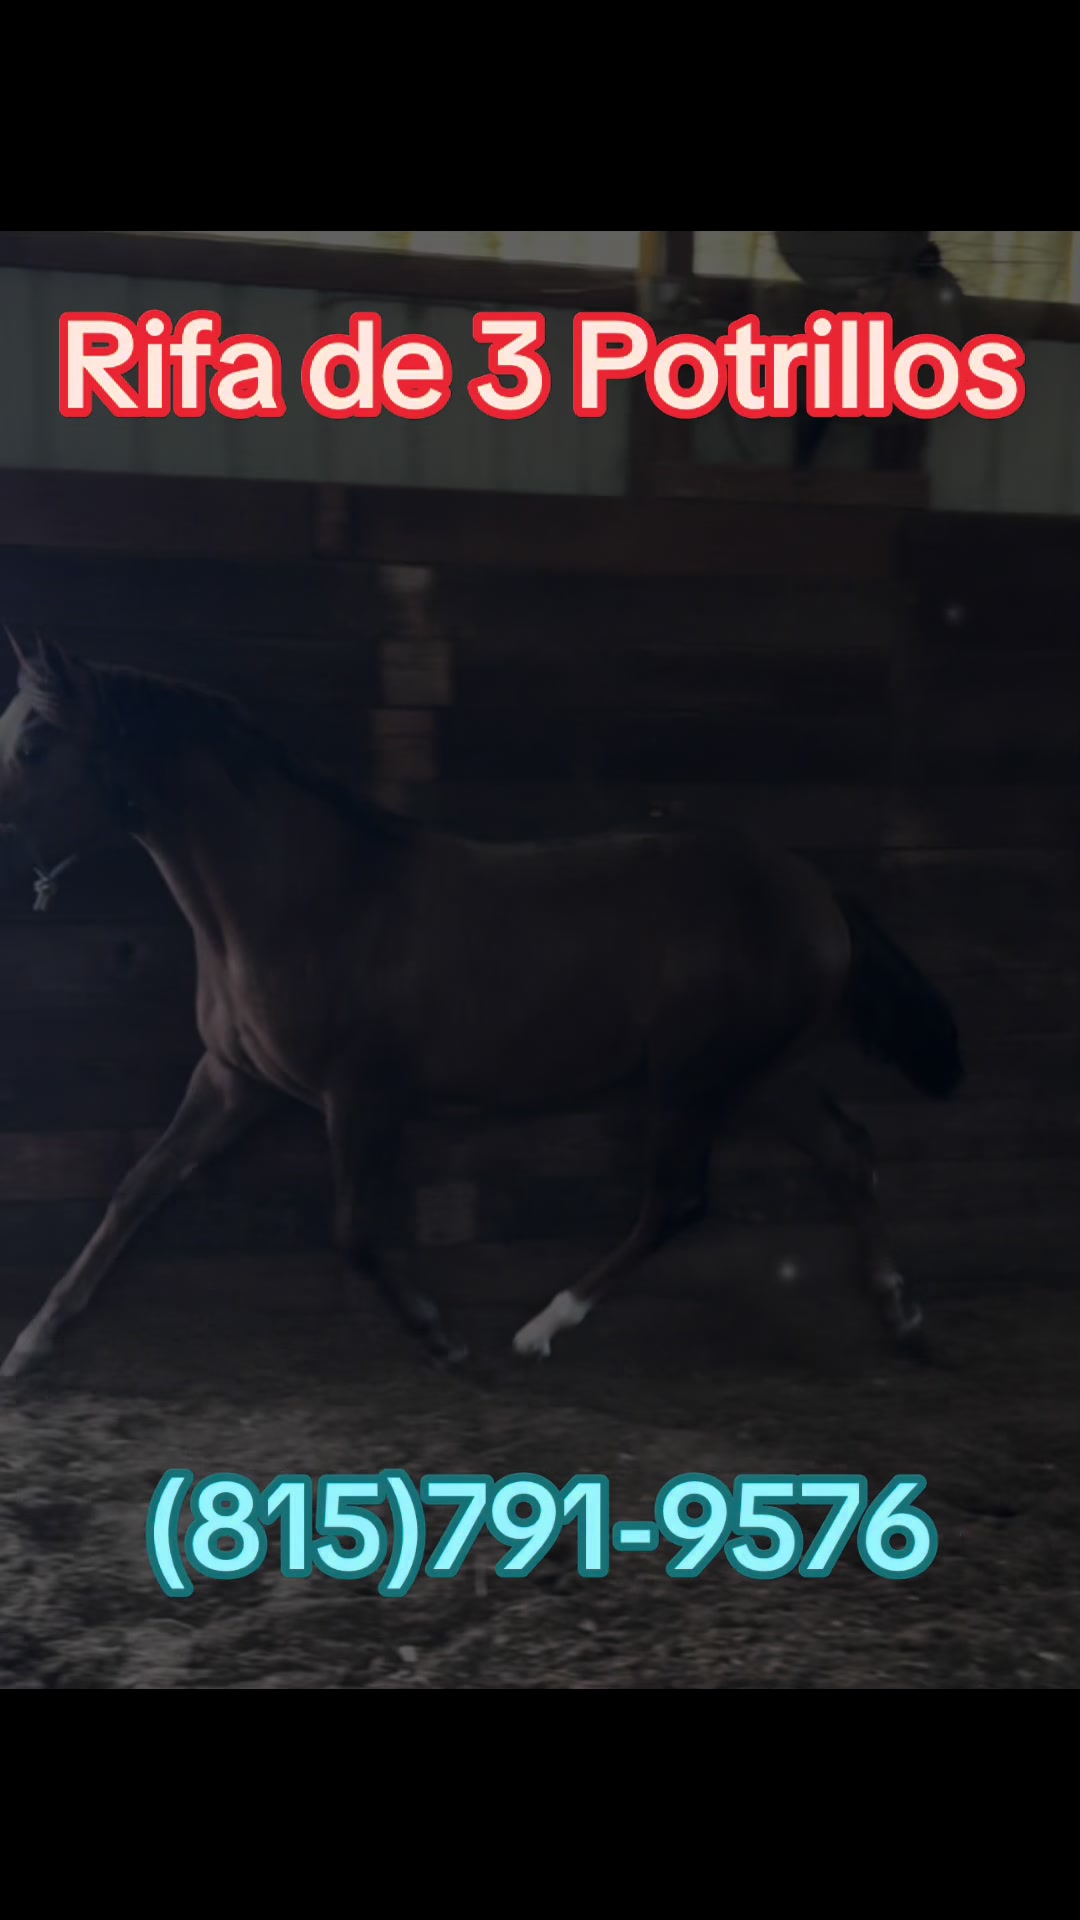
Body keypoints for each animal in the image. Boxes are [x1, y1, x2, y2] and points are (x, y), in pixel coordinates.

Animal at [0, 630, 962, 1381]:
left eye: (34, 745)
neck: (301, 894)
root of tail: (816, 894)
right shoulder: (234, 1079)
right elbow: (138, 1187)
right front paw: (33, 1344)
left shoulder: (361, 1095)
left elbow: (353, 1232)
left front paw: (441, 1338)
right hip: (762, 1074)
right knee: (845, 1151)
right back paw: (904, 1319)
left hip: (693, 1079)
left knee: (678, 1200)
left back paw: (541, 1327)